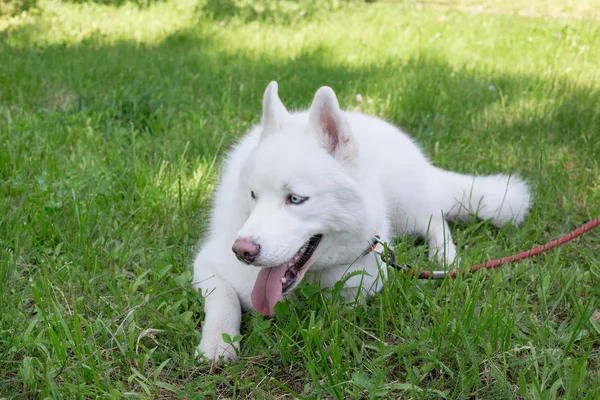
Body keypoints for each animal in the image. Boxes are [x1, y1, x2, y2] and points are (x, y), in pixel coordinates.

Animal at [193, 81, 528, 362]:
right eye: (253, 195)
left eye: (296, 199)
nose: (242, 251)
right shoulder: (207, 264)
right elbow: (224, 299)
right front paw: (218, 343)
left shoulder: (367, 280)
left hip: (409, 204)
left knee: (436, 219)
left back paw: (444, 256)